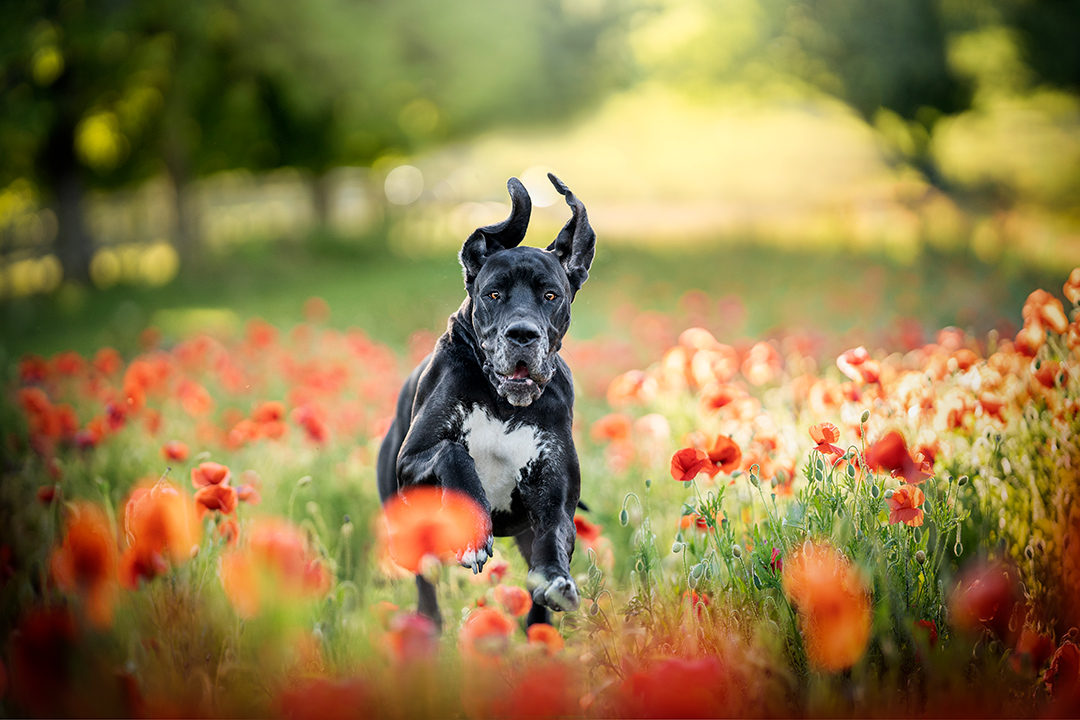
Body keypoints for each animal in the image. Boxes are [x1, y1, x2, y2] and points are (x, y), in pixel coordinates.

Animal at [378, 171, 600, 626]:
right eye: (493, 294)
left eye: (551, 295)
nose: (522, 334)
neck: (502, 403)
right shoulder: (412, 461)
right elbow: (453, 453)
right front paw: (475, 534)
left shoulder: (553, 495)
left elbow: (554, 537)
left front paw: (556, 579)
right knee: (424, 580)